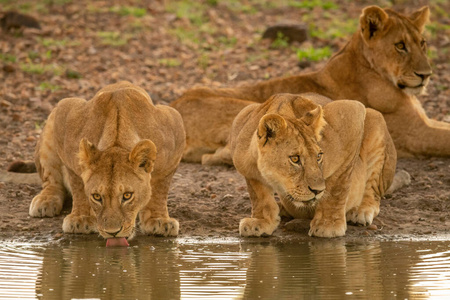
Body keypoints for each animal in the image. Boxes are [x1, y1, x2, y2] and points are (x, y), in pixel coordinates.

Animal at [29, 81, 185, 243]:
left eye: (127, 195)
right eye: (97, 196)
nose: (112, 233)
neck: (117, 138)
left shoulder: (175, 126)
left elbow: (161, 188)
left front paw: (159, 220)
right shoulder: (65, 113)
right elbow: (77, 183)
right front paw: (81, 218)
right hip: (49, 130)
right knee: (51, 180)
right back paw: (45, 200)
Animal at [230, 92, 396, 238]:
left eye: (318, 156)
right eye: (295, 159)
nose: (317, 191)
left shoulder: (351, 112)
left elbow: (337, 186)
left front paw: (329, 224)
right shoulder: (242, 125)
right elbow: (258, 194)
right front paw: (260, 221)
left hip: (375, 119)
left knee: (373, 188)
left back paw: (361, 210)